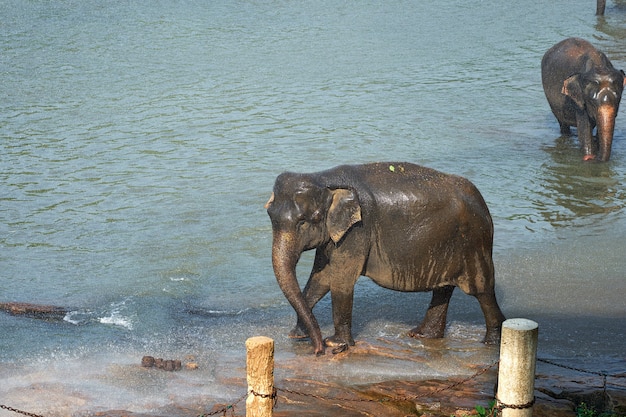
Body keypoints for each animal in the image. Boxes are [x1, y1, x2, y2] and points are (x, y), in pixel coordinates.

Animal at [262, 162, 502, 354]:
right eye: (270, 216)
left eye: (304, 221)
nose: (317, 349)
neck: (323, 178)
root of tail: (482, 201)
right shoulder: (334, 235)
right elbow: (320, 279)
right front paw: (296, 335)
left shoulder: (358, 230)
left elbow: (340, 282)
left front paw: (335, 343)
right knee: (443, 289)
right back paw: (422, 336)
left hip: (475, 242)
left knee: (482, 290)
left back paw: (490, 343)